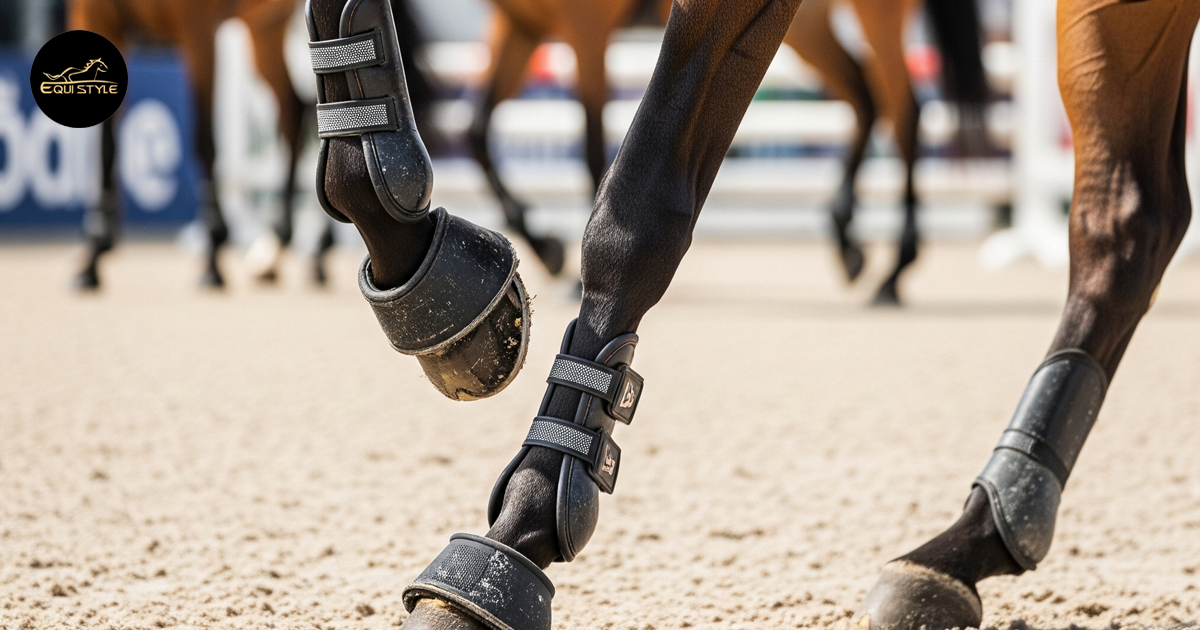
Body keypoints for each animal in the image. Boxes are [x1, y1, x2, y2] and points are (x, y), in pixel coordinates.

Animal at [72, 0, 307, 291]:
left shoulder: (198, 30)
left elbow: (204, 142)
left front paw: (213, 257)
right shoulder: (97, 16)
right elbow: (106, 150)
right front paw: (93, 257)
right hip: (266, 24)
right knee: (295, 113)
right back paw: (278, 251)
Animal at [783, 0, 988, 305]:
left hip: (875, 17)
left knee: (903, 112)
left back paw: (894, 270)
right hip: (809, 23)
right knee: (867, 98)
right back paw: (850, 246)